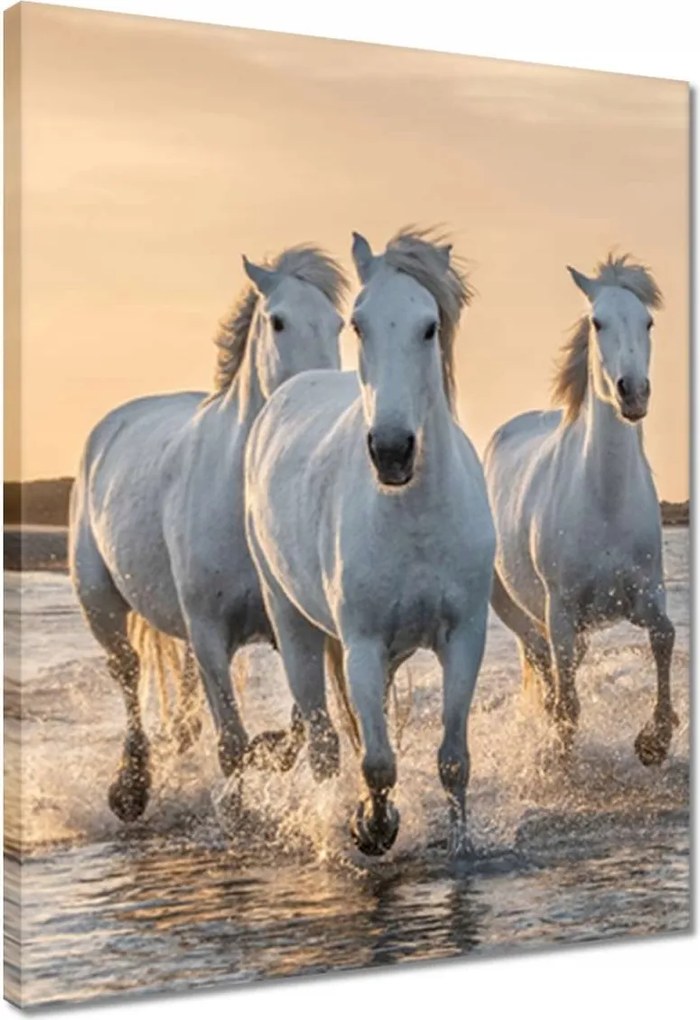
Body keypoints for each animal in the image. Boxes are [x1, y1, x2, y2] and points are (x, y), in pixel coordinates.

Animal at [69, 245, 348, 822]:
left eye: (337, 324)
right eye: (277, 321)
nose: (319, 398)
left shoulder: (289, 624)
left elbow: (294, 728)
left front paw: (270, 753)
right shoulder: (211, 630)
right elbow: (232, 745)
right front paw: (237, 812)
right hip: (100, 604)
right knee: (127, 675)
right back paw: (130, 789)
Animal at [244, 228, 496, 858]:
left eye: (429, 326)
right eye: (358, 325)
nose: (391, 450)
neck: (415, 516)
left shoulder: (464, 637)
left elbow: (452, 760)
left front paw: (460, 847)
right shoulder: (361, 643)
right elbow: (377, 761)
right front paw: (372, 827)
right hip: (295, 627)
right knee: (324, 742)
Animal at [483, 254, 677, 765]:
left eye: (648, 322)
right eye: (597, 322)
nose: (633, 393)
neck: (604, 501)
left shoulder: (645, 594)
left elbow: (665, 636)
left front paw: (655, 740)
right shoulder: (562, 611)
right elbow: (566, 698)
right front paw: (559, 753)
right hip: (516, 607)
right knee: (542, 662)